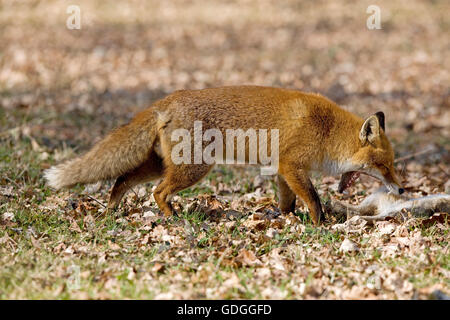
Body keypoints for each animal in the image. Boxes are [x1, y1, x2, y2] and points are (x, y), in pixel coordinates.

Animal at [44, 85, 404, 225]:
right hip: (193, 168)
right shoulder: (292, 165)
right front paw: (320, 226)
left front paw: (285, 219)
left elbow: (287, 202)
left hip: (159, 164)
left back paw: (111, 210)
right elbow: (314, 199)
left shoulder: (282, 170)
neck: (326, 130)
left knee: (121, 180)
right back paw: (173, 218)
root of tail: (167, 100)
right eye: (384, 165)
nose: (402, 189)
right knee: (157, 192)